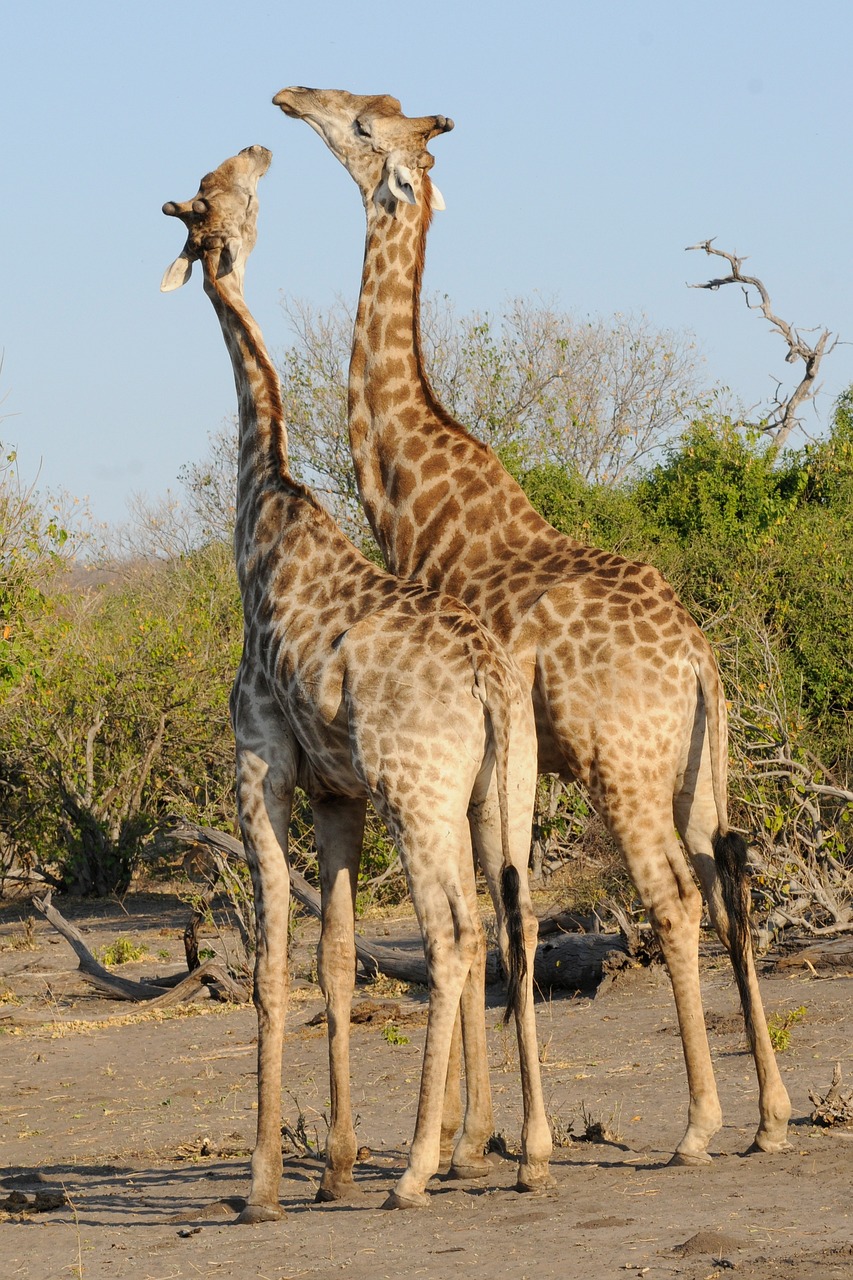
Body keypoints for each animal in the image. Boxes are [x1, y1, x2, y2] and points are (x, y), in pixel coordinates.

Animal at [157, 142, 550, 1218]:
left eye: (222, 186)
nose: (260, 148)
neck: (261, 511)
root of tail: (485, 671)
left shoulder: (260, 766)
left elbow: (271, 963)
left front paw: (261, 1183)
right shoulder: (340, 794)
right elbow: (334, 961)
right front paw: (330, 1164)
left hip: (419, 789)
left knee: (452, 935)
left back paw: (416, 1167)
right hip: (499, 788)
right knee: (512, 919)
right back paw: (529, 1151)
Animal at [268, 90, 788, 1167]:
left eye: (363, 128)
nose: (290, 97)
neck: (417, 507)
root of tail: (700, 659)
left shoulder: (482, 753)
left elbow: (497, 915)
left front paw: (468, 1137)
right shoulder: (495, 762)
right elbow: (500, 912)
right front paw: (480, 1130)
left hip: (618, 764)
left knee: (673, 895)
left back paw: (698, 1123)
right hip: (696, 763)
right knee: (729, 880)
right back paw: (771, 1114)